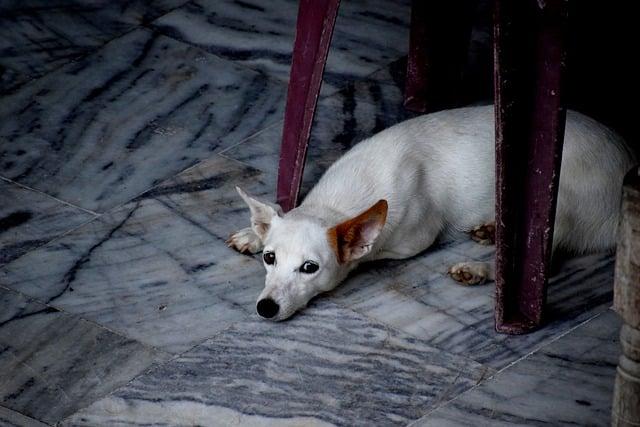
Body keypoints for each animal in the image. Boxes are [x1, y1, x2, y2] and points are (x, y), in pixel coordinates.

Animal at [225, 106, 636, 320]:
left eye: (310, 268)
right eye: (269, 258)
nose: (265, 307)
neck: (338, 202)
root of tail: (628, 158)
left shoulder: (413, 239)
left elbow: (373, 252)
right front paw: (252, 232)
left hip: (559, 201)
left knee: (543, 262)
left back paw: (481, 268)